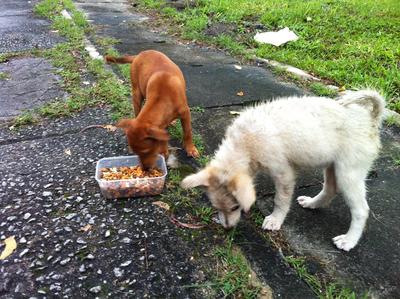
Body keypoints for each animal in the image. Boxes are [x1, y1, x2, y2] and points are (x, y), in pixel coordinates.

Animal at [183, 90, 386, 252]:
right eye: (216, 207)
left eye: (235, 207)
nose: (227, 228)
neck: (245, 144)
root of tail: (371, 121)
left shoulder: (283, 173)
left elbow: (280, 200)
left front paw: (275, 220)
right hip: (332, 166)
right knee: (329, 189)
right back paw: (311, 203)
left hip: (349, 173)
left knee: (361, 210)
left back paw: (349, 240)